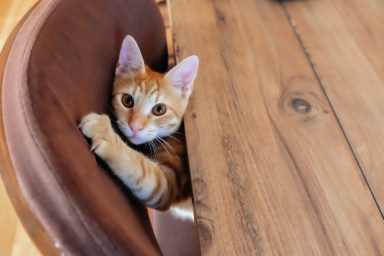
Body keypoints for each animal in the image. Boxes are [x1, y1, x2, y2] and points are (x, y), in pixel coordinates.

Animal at [78, 35, 198, 220]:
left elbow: (141, 168)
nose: (135, 127)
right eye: (127, 100)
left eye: (159, 109)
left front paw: (105, 133)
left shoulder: (165, 188)